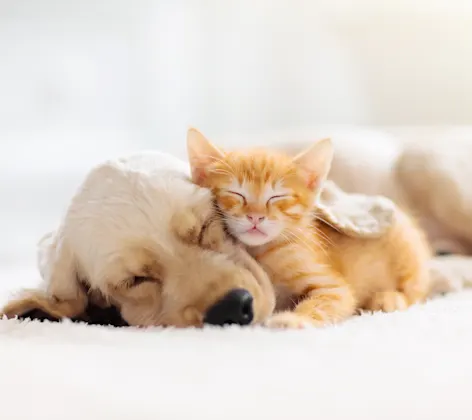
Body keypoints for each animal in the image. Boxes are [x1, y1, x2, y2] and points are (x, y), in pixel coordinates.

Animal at [186, 128, 434, 328]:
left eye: (277, 197)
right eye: (236, 193)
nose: (255, 216)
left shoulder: (333, 288)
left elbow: (324, 302)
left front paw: (294, 319)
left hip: (406, 249)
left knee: (417, 291)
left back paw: (390, 298)